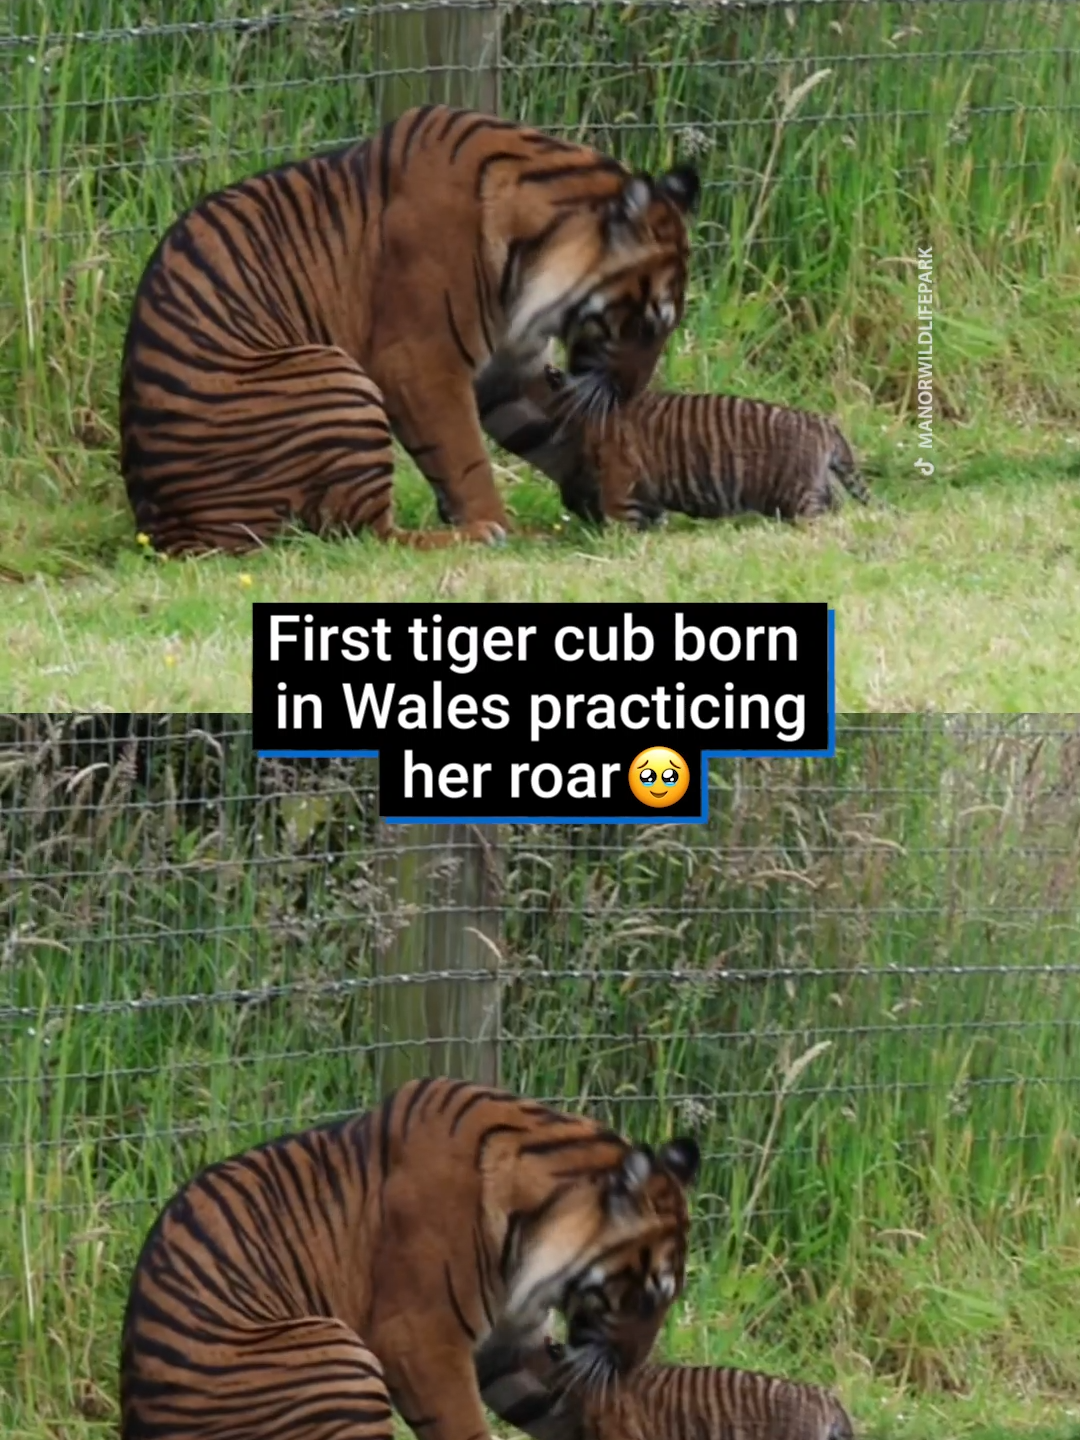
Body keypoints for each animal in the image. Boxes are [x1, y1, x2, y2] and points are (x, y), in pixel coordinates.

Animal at [118, 1082, 702, 1440]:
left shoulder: (507, 1343)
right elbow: (464, 1425)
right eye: (648, 1296)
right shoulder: (421, 1340)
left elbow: (561, 1405)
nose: (631, 1368)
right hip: (335, 1351)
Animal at [122, 105, 702, 555]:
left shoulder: (507, 368)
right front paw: (500, 525)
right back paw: (474, 537)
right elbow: (466, 459)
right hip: (334, 374)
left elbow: (559, 428)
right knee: (368, 533)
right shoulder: (422, 362)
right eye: (649, 323)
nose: (632, 394)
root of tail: (170, 530)